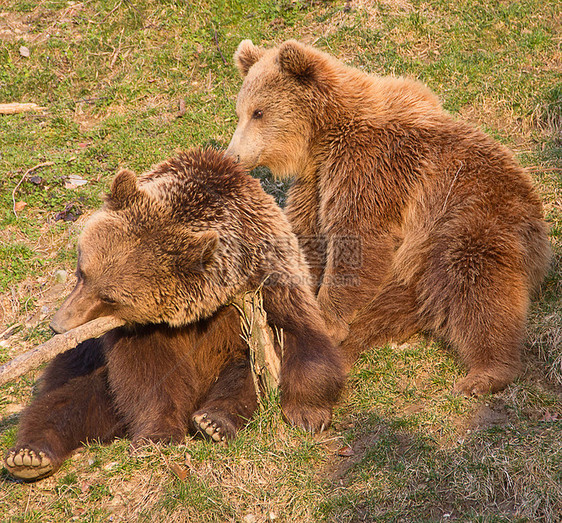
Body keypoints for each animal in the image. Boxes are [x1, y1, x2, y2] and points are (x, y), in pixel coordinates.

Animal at [4, 147, 344, 484]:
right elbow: (148, 377)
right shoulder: (144, 330)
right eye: (82, 271)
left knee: (245, 373)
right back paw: (30, 454)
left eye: (109, 297)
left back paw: (214, 420)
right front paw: (158, 435)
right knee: (69, 397)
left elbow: (302, 343)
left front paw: (308, 413)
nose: (58, 327)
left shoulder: (269, 285)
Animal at [225, 39, 548, 398]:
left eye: (258, 112)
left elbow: (359, 239)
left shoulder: (370, 167)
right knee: (390, 309)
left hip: (472, 220)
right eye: (241, 111)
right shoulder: (316, 182)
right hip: (411, 274)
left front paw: (327, 319)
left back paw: (484, 374)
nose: (233, 156)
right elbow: (306, 237)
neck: (322, 138)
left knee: (478, 286)